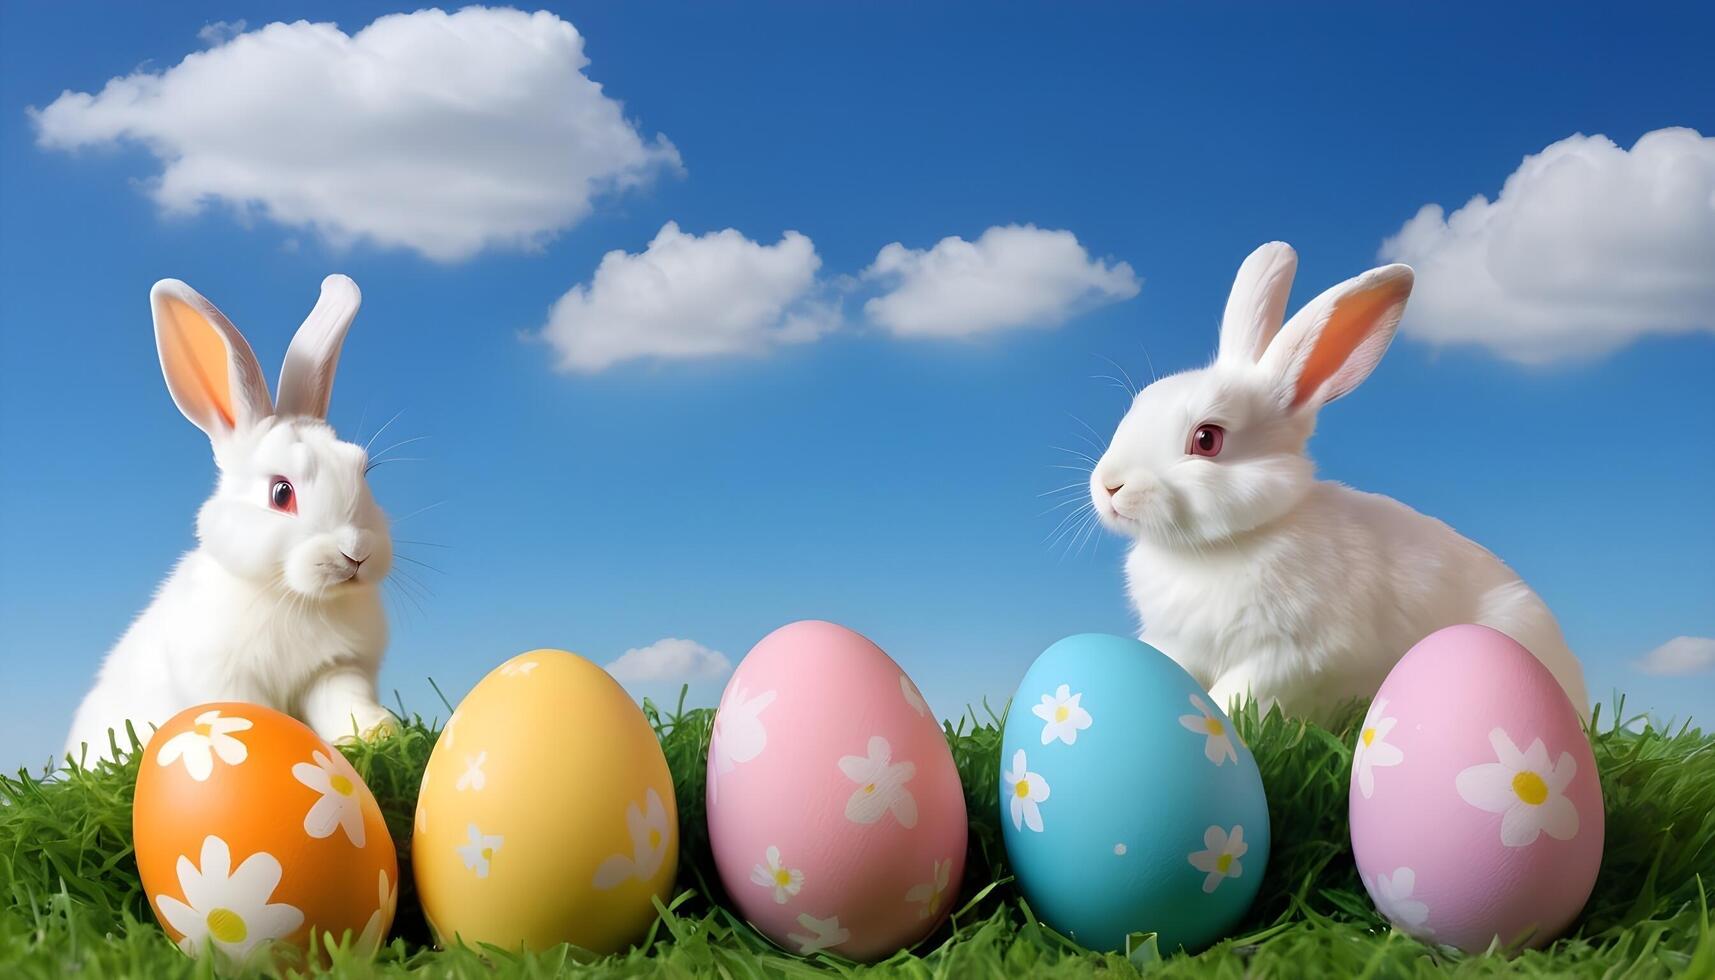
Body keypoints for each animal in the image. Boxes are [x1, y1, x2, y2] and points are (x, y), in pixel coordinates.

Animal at [65, 272, 396, 762]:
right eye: (281, 493)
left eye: (363, 470)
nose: (355, 552)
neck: (294, 596)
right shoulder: (228, 678)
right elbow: (250, 713)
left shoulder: (334, 670)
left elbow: (345, 703)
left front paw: (378, 733)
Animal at [1090, 243, 1584, 720]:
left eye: (1207, 439)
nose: (1109, 486)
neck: (1215, 548)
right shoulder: (1176, 643)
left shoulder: (1289, 654)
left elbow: (1233, 697)